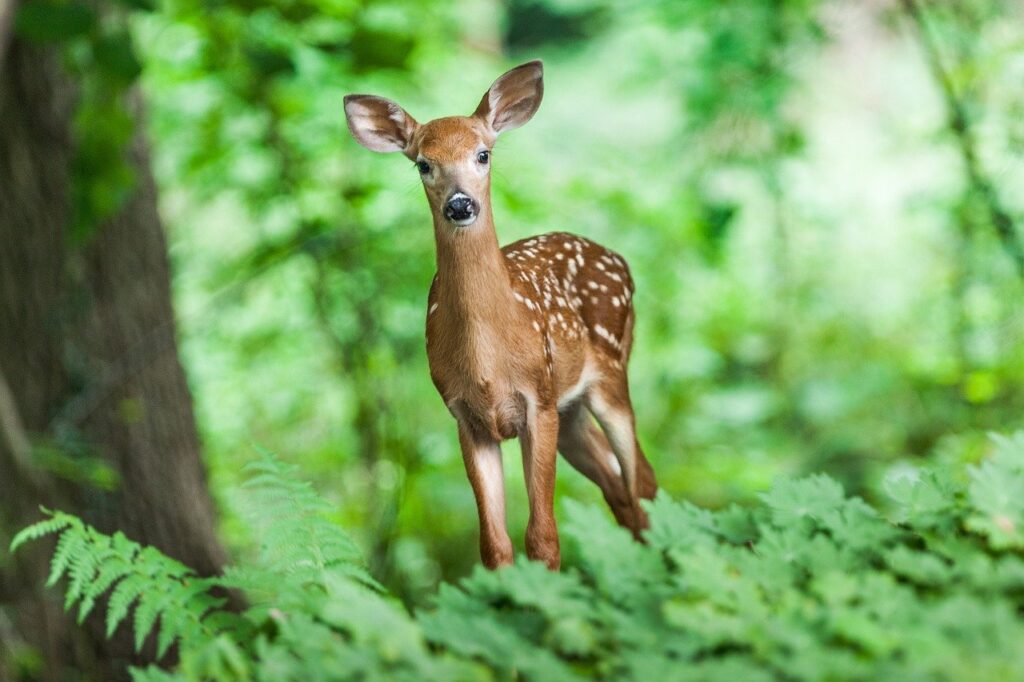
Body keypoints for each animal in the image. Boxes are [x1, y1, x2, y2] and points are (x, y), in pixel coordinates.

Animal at [343, 60, 657, 570]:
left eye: (483, 154)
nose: (459, 204)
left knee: (642, 481)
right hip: (571, 411)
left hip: (609, 373)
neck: (488, 360)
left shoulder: (538, 400)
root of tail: (619, 259)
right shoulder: (466, 417)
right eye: (423, 163)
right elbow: (494, 544)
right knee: (619, 489)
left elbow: (543, 537)